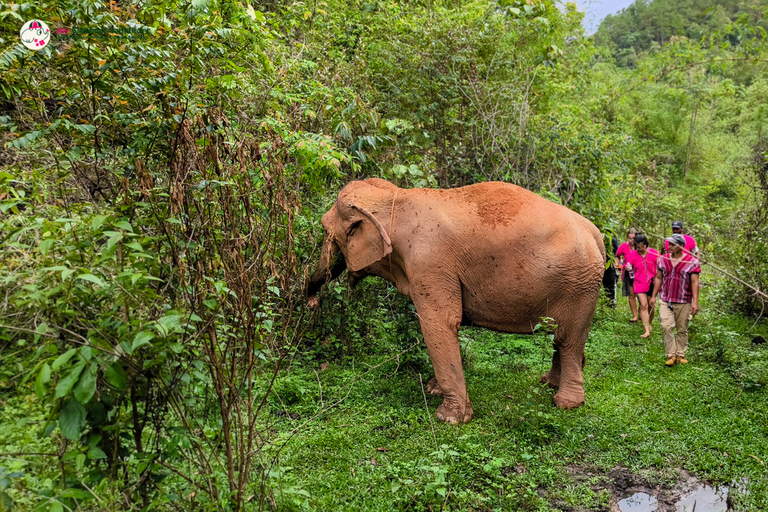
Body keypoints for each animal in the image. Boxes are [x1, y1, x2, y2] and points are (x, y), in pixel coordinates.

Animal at [306, 178, 608, 426]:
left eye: (326, 230)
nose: (311, 302)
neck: (395, 197)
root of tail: (596, 234)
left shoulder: (430, 263)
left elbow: (440, 323)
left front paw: (449, 418)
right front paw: (433, 390)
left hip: (579, 286)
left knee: (568, 339)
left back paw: (566, 403)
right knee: (561, 337)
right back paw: (548, 383)